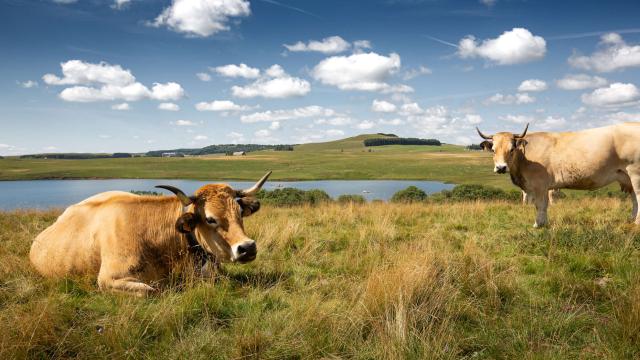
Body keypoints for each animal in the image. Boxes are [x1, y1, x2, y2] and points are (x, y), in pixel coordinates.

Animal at [476, 122, 640, 226]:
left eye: (511, 149)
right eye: (493, 150)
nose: (501, 167)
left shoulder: (539, 185)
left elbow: (540, 205)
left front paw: (538, 224)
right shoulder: (544, 187)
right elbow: (544, 205)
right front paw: (544, 223)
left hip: (635, 173)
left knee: (638, 196)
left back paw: (637, 222)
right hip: (627, 177)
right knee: (634, 199)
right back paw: (631, 219)